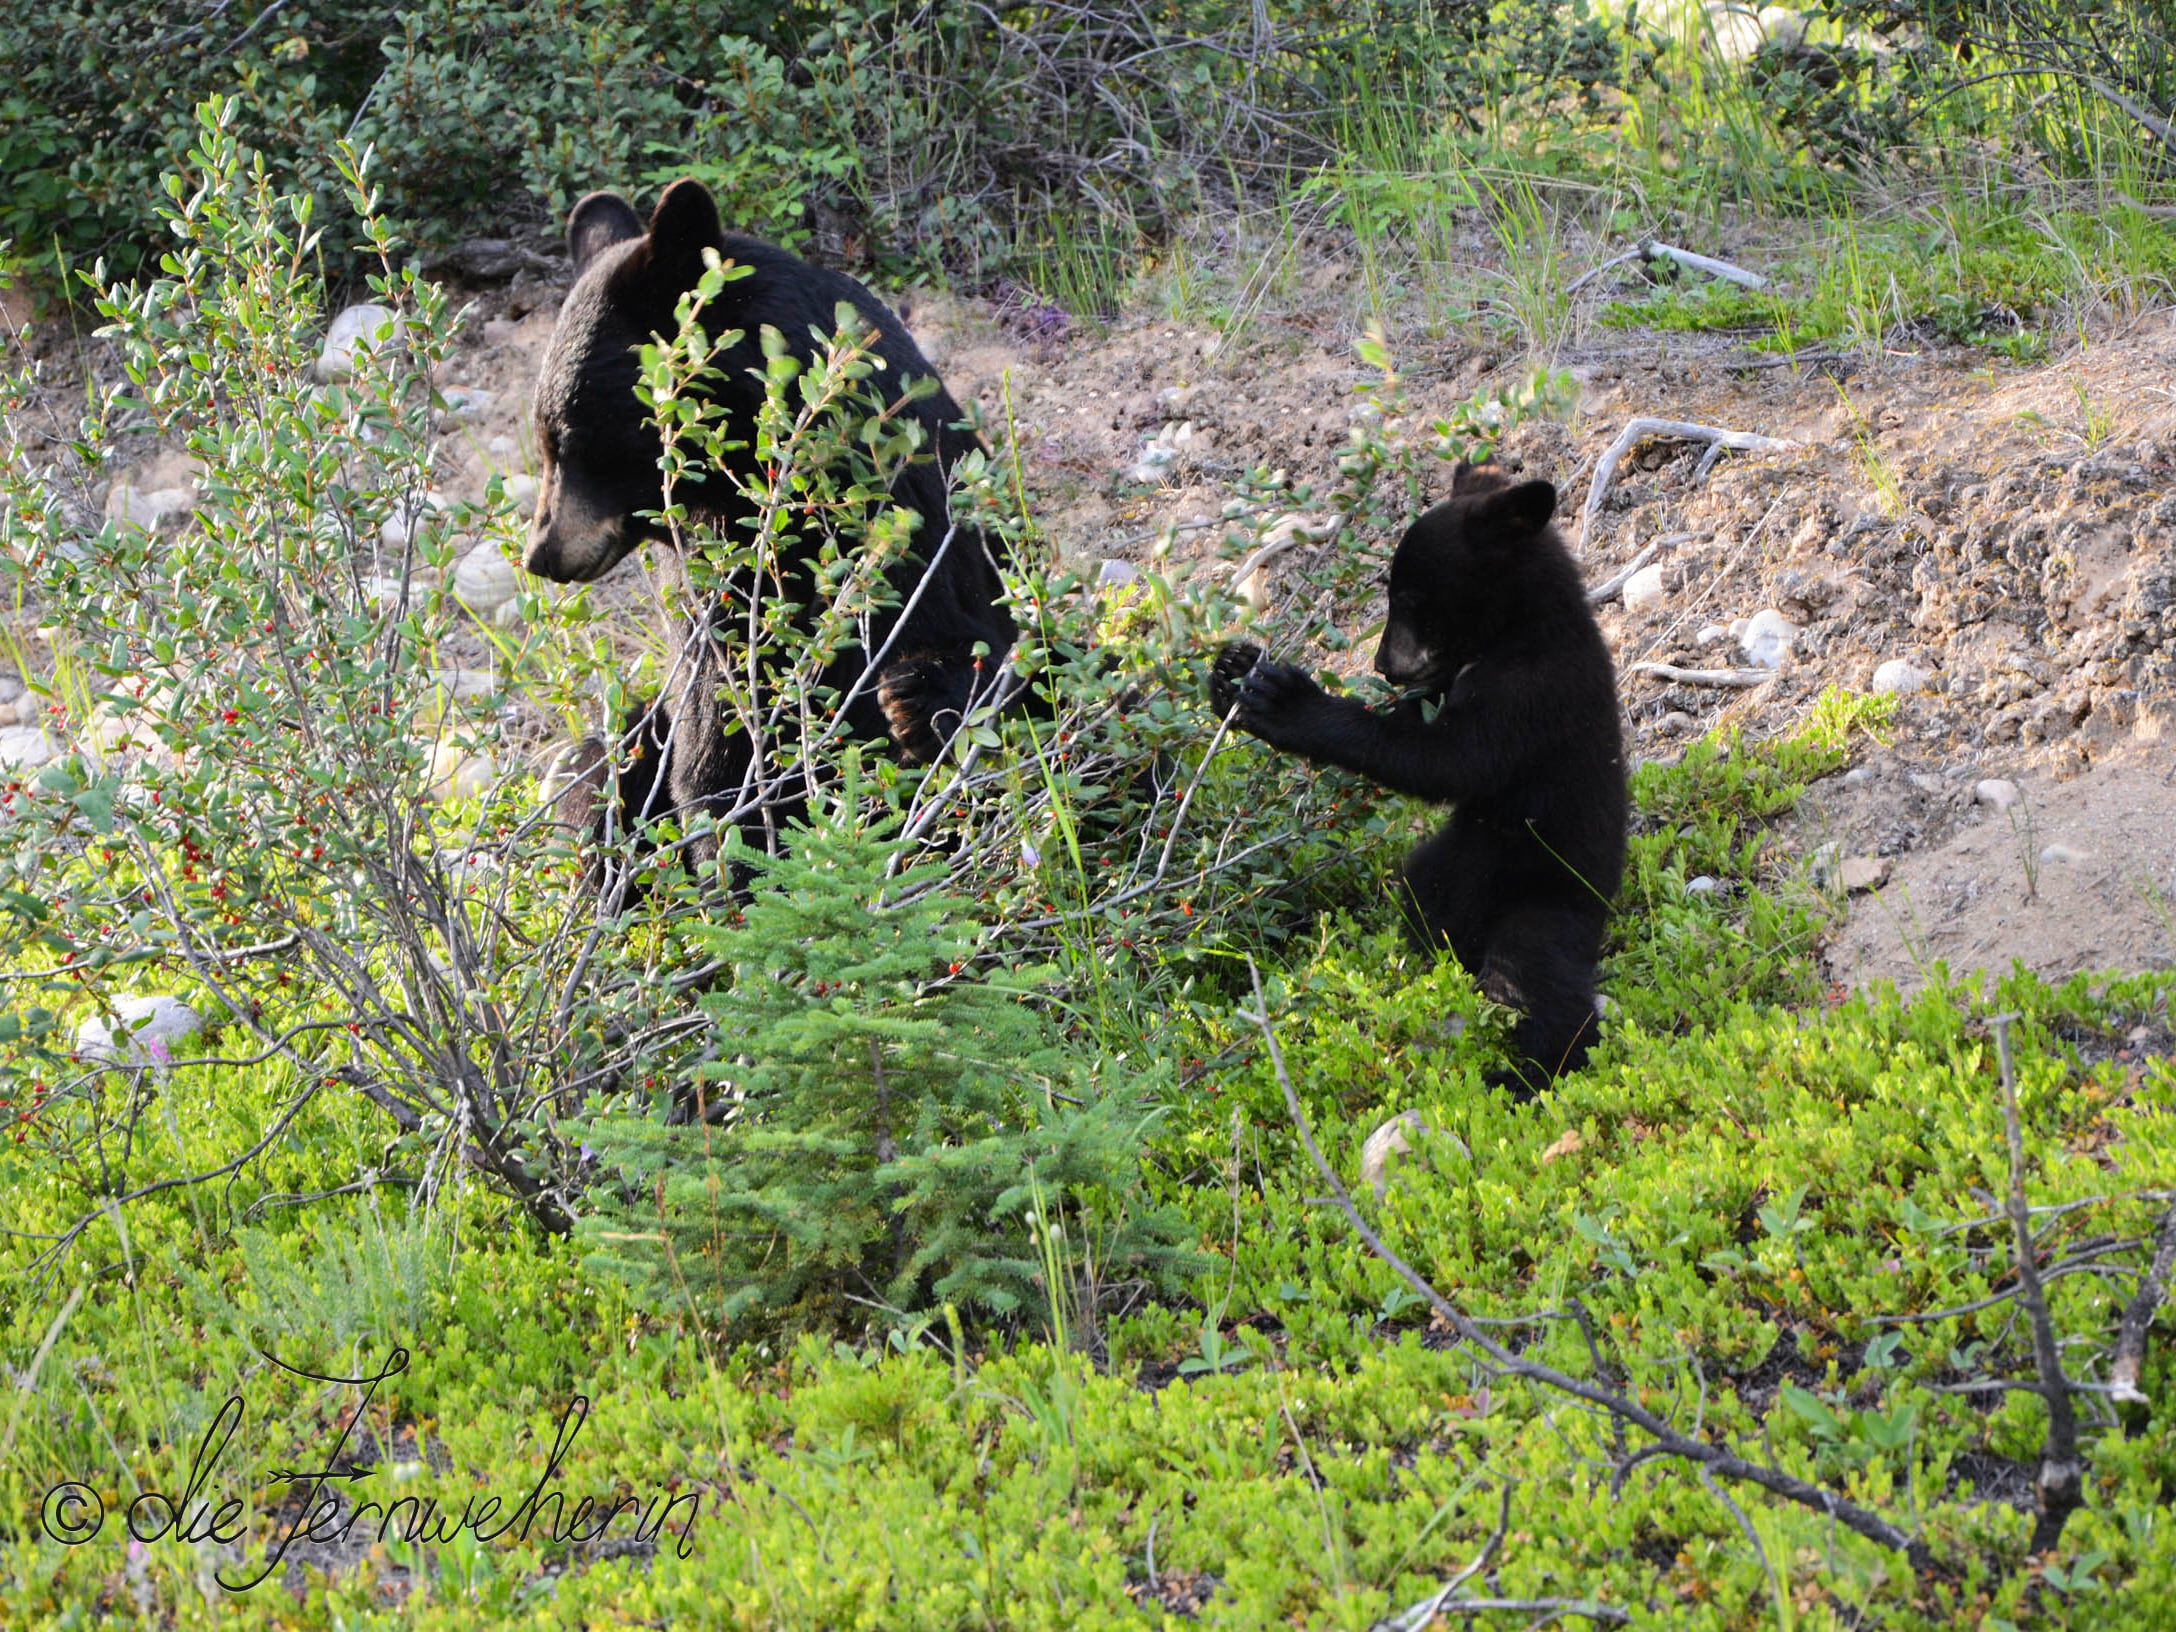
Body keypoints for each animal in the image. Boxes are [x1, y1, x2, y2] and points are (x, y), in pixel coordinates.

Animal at [526, 178, 1018, 887]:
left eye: (567, 439)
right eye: (543, 440)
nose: (540, 554)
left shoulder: (924, 526)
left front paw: (915, 698)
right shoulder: (710, 579)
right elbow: (716, 724)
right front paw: (738, 859)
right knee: (594, 757)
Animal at [1218, 465, 1627, 1092]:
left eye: (1409, 598)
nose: (1383, 664)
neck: (1519, 630)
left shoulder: (1532, 693)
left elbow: (1445, 759)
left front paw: (1284, 701)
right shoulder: (1446, 683)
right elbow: (1416, 724)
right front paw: (1231, 672)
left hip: (1547, 898)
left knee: (1533, 984)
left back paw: (1533, 1074)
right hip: (1448, 868)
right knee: (1430, 906)